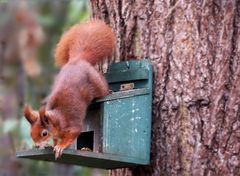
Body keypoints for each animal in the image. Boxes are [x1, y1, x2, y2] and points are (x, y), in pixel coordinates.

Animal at [23, 20, 116, 159]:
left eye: (44, 133)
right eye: (31, 133)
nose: (36, 145)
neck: (57, 120)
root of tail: (78, 59)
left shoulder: (72, 126)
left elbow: (72, 135)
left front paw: (60, 146)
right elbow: (56, 139)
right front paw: (55, 144)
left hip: (97, 84)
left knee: (102, 89)